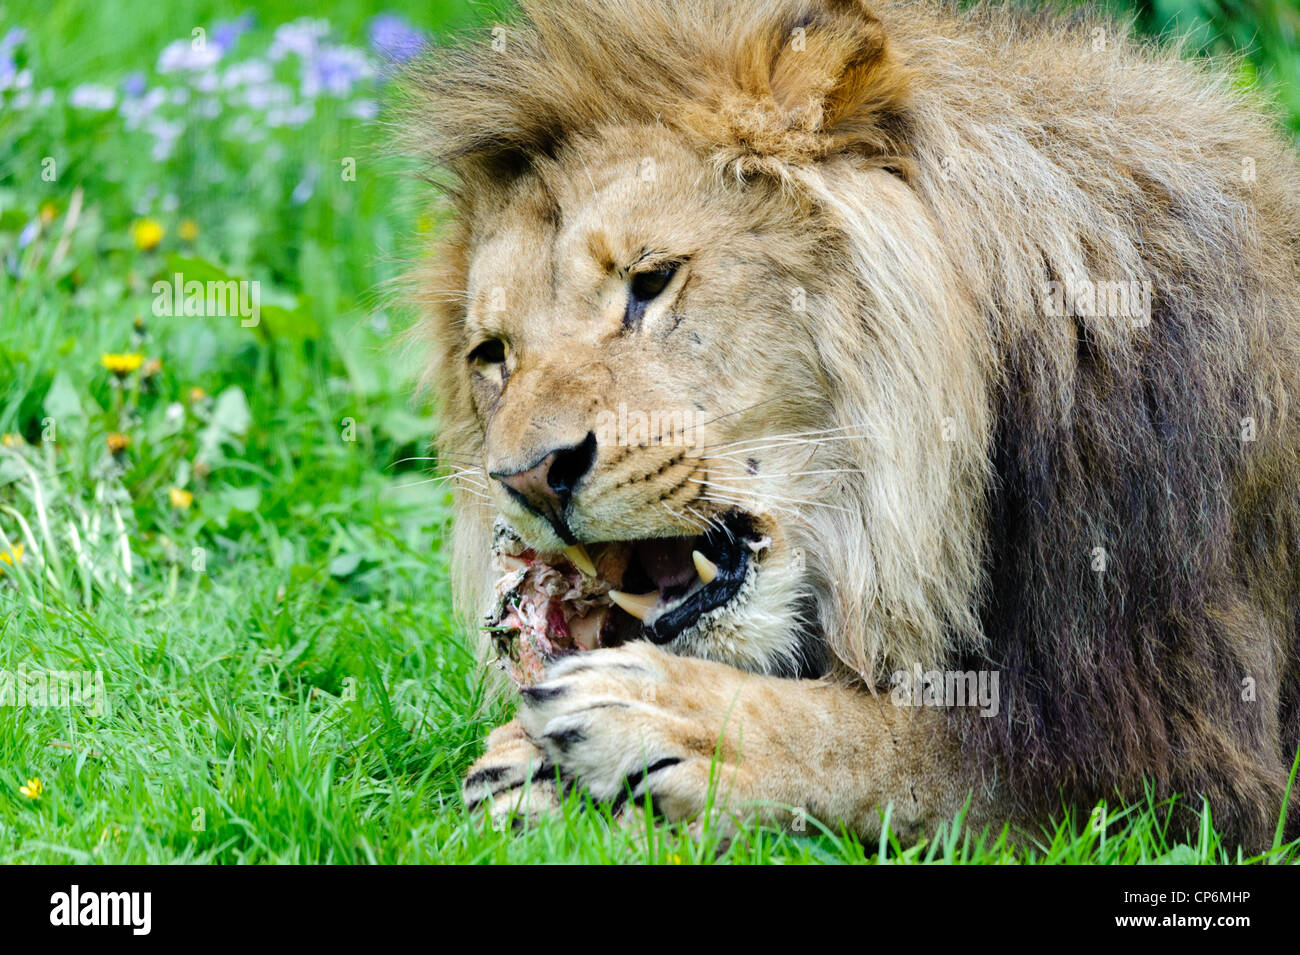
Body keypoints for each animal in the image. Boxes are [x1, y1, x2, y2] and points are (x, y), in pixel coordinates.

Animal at [400, 0, 1300, 849]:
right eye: (491, 355)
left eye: (651, 281)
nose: (526, 479)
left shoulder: (1184, 762)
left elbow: (906, 740)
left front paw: (662, 719)